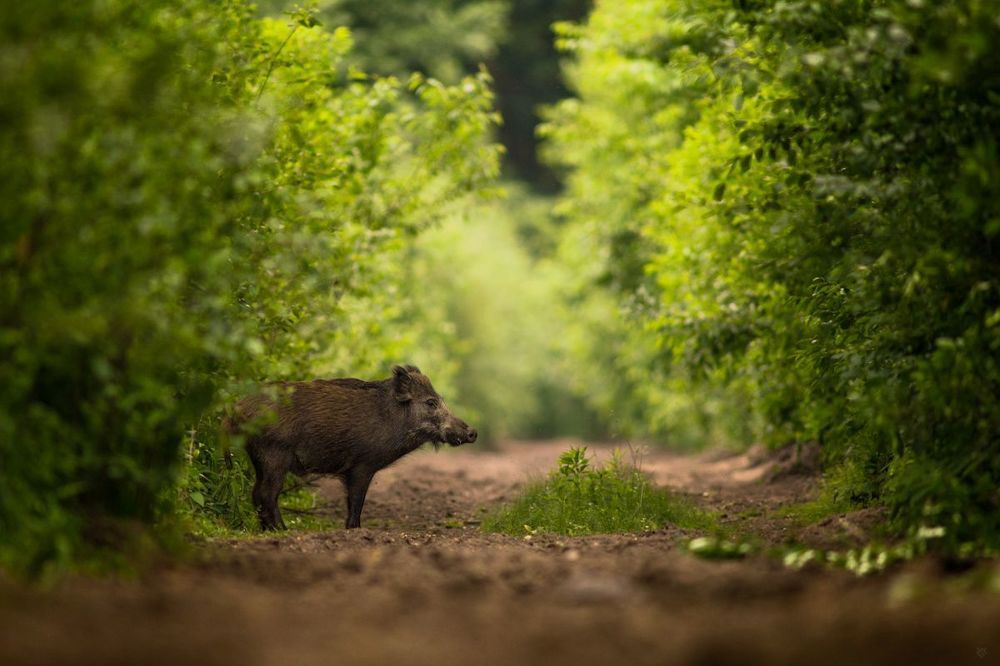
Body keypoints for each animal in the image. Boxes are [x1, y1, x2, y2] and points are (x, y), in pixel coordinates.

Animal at [225, 365, 477, 531]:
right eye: (431, 402)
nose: (472, 433)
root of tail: (236, 410)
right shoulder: (362, 466)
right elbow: (356, 501)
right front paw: (354, 530)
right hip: (274, 455)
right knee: (266, 494)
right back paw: (283, 530)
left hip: (260, 459)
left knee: (256, 493)